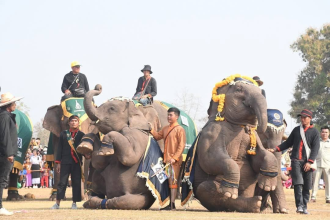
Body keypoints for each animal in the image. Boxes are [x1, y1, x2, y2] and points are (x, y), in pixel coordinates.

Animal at [182, 75, 278, 212]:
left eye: (261, 91)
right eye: (239, 89)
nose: (253, 129)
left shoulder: (255, 138)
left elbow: (260, 156)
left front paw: (268, 185)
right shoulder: (211, 133)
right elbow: (209, 159)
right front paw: (230, 191)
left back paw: (261, 205)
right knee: (206, 188)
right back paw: (252, 203)